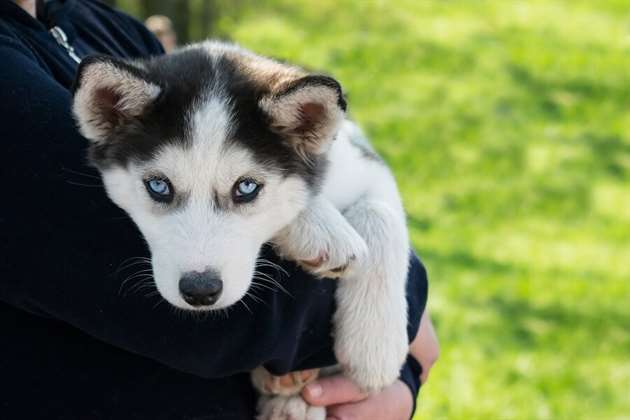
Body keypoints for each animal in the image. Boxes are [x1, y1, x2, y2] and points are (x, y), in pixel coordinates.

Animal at [73, 40, 410, 420]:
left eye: (246, 188)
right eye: (158, 186)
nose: (200, 290)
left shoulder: (365, 163)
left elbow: (381, 213)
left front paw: (376, 347)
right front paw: (321, 228)